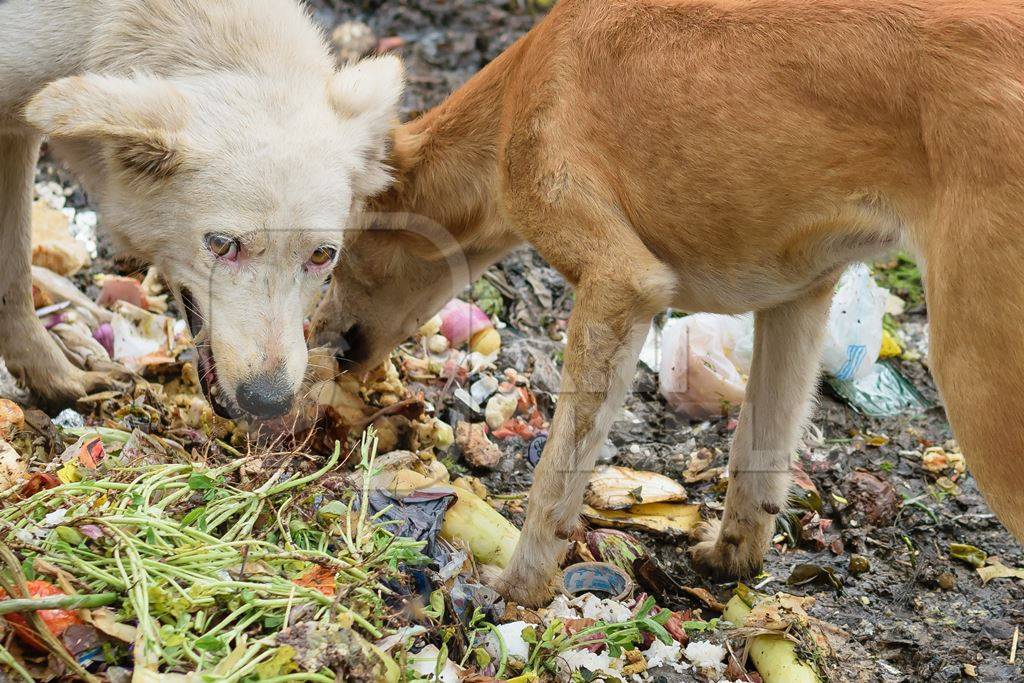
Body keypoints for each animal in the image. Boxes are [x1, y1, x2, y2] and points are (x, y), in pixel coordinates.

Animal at [1, 0, 403, 417]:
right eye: (222, 245)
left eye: (322, 255)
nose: (268, 401)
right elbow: (15, 273)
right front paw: (57, 377)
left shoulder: (17, 135)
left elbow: (11, 275)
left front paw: (53, 378)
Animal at [309, 0, 1024, 610]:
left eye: (328, 256)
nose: (319, 342)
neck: (514, 100)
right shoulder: (800, 298)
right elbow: (757, 457)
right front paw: (729, 561)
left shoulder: (620, 284)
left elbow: (556, 479)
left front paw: (517, 589)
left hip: (979, 383)